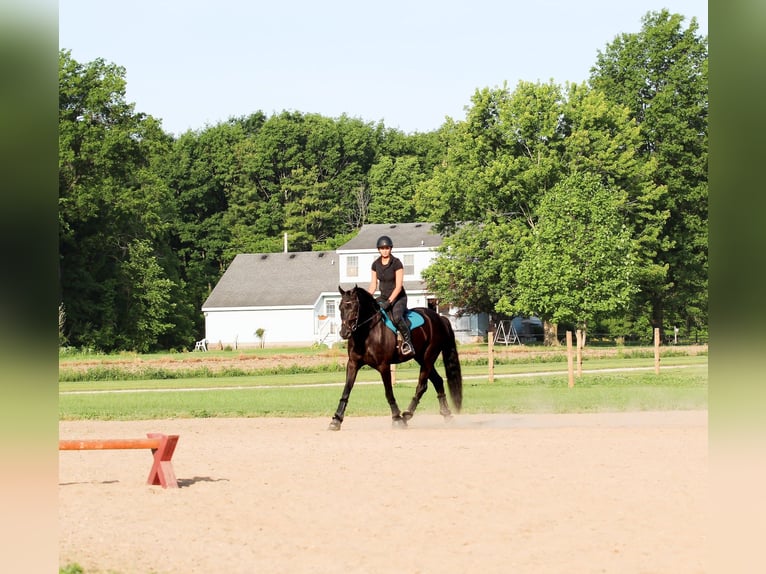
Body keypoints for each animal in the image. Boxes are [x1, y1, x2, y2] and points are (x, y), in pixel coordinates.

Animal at [328, 285, 463, 431]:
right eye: (340, 307)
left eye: (354, 307)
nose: (344, 333)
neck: (367, 333)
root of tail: (439, 318)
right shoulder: (353, 364)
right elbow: (346, 390)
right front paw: (336, 419)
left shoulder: (384, 366)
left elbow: (389, 392)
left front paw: (396, 418)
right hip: (421, 358)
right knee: (437, 381)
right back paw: (446, 414)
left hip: (428, 358)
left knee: (422, 386)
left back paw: (406, 415)